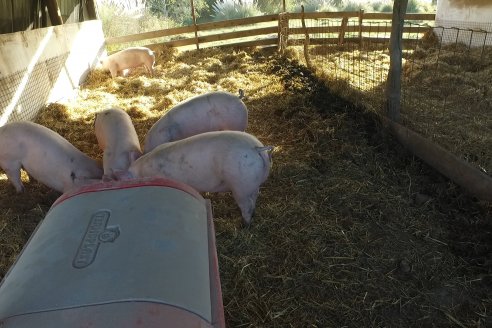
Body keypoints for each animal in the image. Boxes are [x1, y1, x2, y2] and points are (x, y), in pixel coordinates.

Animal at [129, 131, 270, 226]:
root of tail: (256, 148)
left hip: (240, 186)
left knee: (247, 207)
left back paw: (244, 225)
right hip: (252, 184)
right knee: (254, 199)